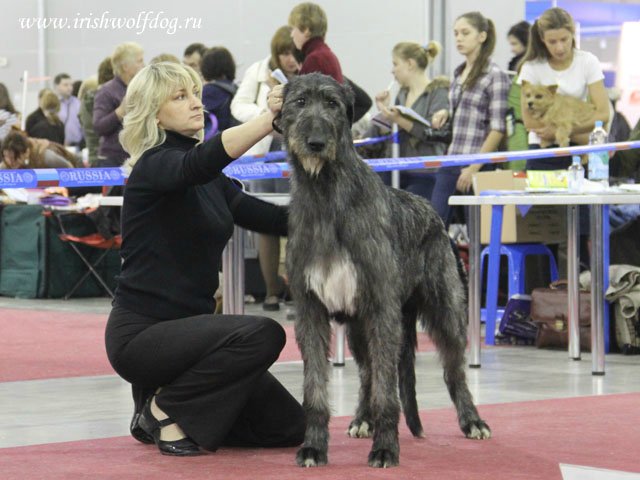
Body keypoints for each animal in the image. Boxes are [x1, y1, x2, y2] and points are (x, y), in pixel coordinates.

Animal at [278, 73, 492, 466]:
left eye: (332, 104)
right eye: (299, 102)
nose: (316, 143)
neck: (326, 194)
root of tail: (433, 213)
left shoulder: (381, 308)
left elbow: (386, 391)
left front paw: (386, 447)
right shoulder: (310, 310)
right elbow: (316, 387)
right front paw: (314, 445)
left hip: (444, 309)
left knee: (453, 370)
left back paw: (472, 420)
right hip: (359, 325)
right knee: (366, 372)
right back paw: (362, 418)